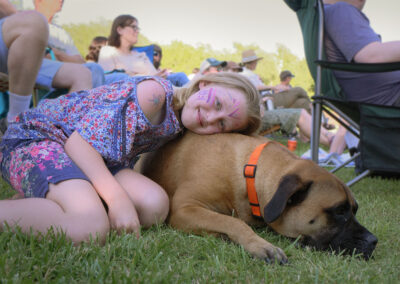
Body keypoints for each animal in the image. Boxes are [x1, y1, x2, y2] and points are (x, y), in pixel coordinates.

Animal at [139, 132, 376, 262]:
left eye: (354, 210)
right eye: (339, 211)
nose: (373, 241)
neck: (248, 174)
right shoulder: (185, 208)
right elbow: (233, 222)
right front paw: (260, 245)